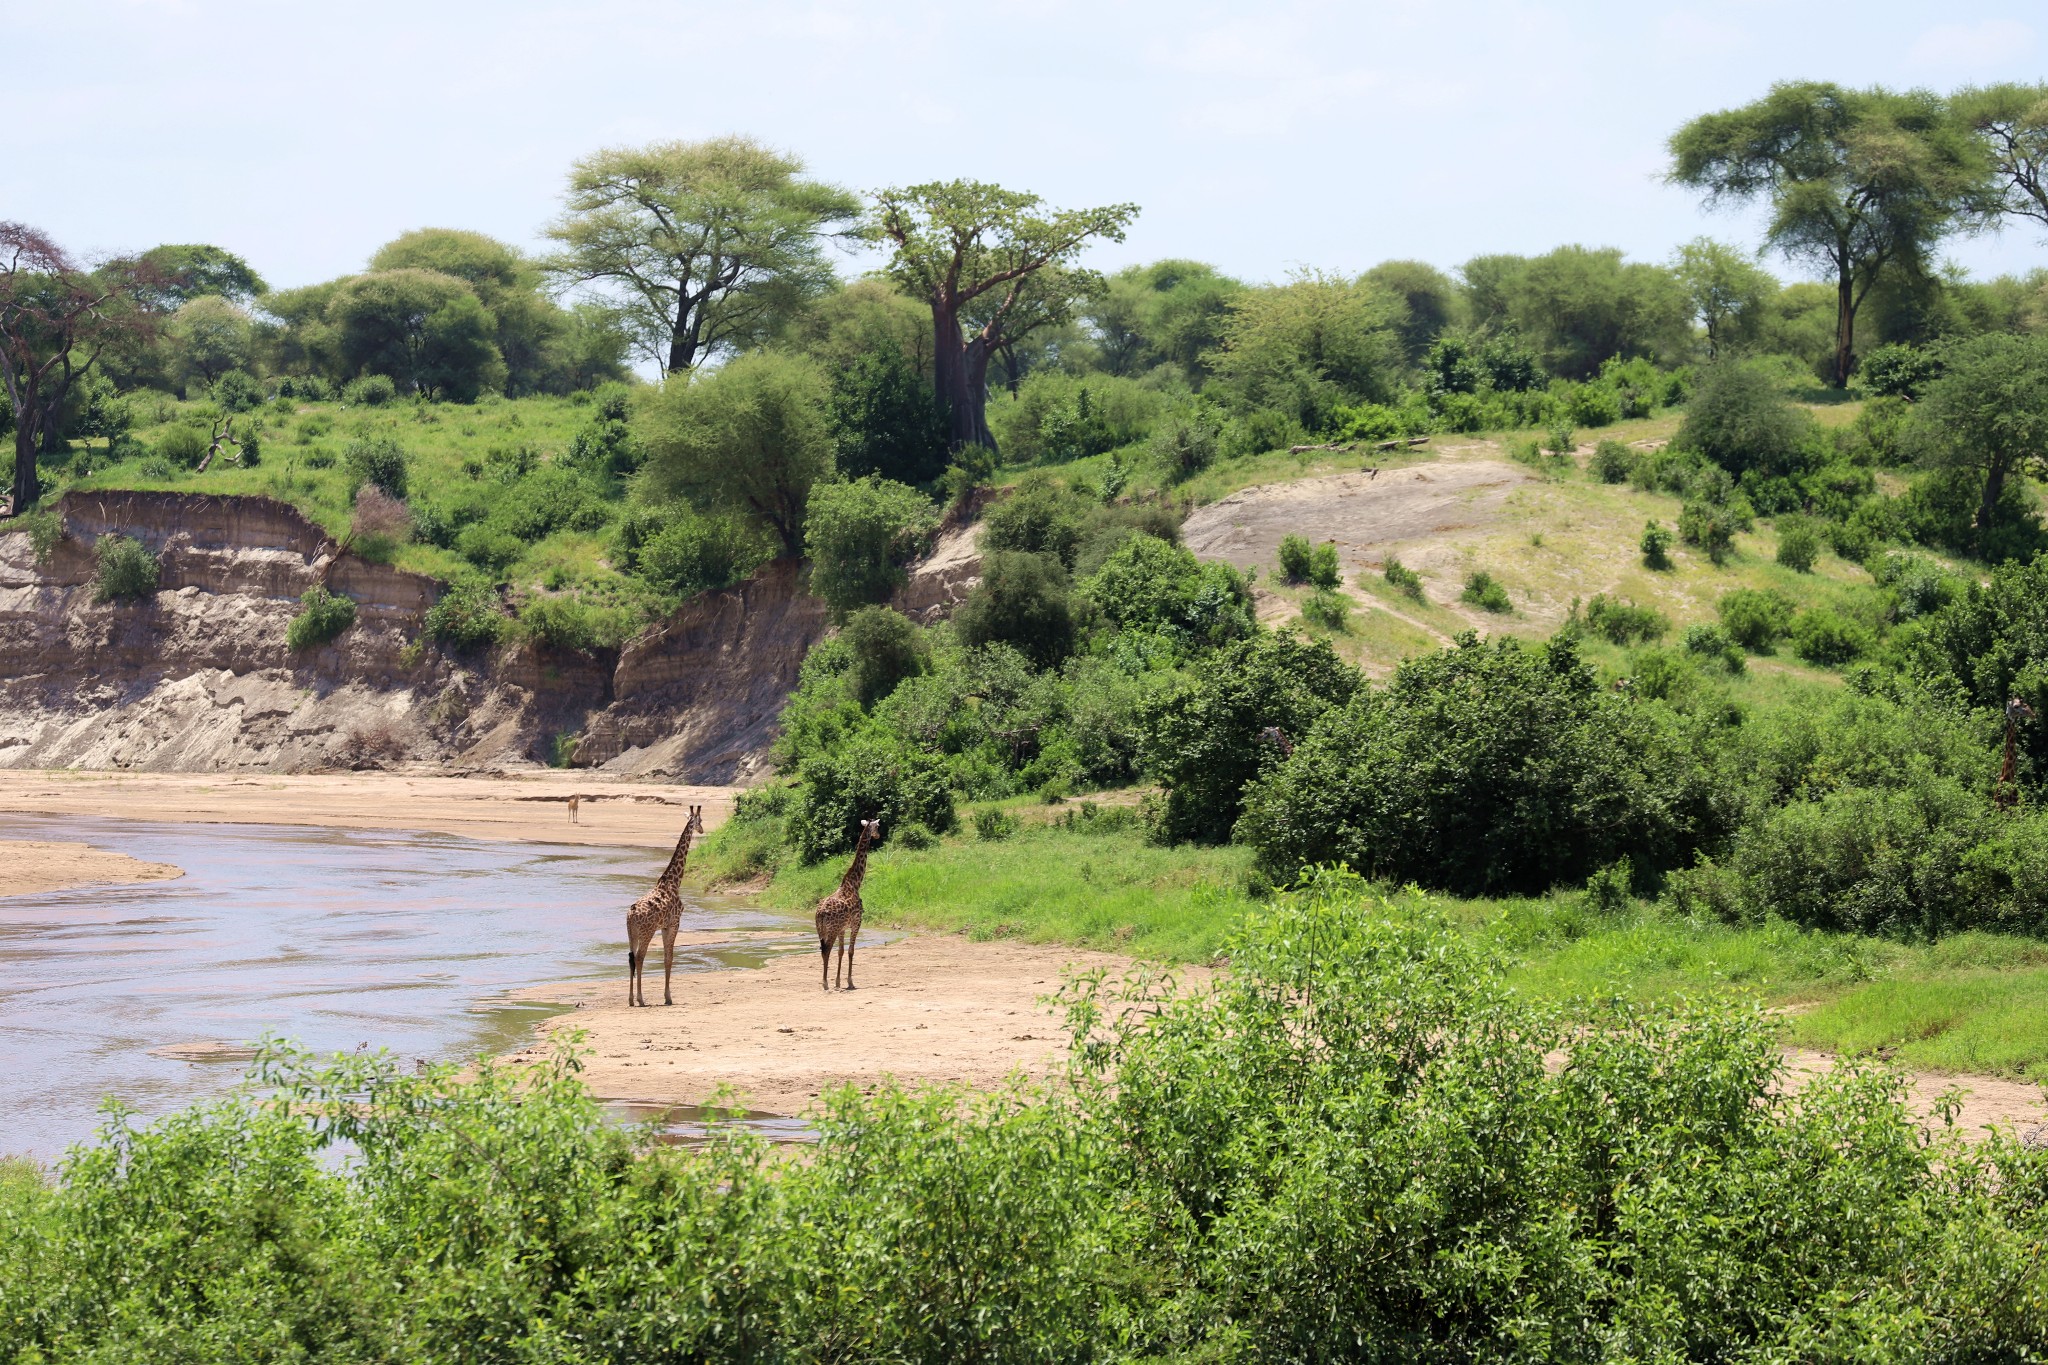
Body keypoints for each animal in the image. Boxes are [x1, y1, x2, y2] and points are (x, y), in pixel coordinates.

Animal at [626, 806, 708, 1010]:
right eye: (700, 820)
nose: (702, 830)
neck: (674, 881)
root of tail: (630, 915)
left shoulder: (664, 926)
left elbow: (666, 958)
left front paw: (666, 996)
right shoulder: (674, 924)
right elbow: (669, 958)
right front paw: (668, 997)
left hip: (632, 934)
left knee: (631, 958)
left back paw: (630, 999)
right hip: (646, 932)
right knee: (639, 958)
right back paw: (640, 999)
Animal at [815, 818, 880, 998]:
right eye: (878, 826)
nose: (878, 835)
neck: (855, 883)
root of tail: (820, 913)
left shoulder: (843, 928)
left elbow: (841, 951)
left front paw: (838, 982)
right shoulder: (857, 923)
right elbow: (851, 951)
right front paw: (850, 982)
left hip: (822, 930)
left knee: (823, 950)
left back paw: (826, 982)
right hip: (831, 930)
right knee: (826, 950)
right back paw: (824, 983)